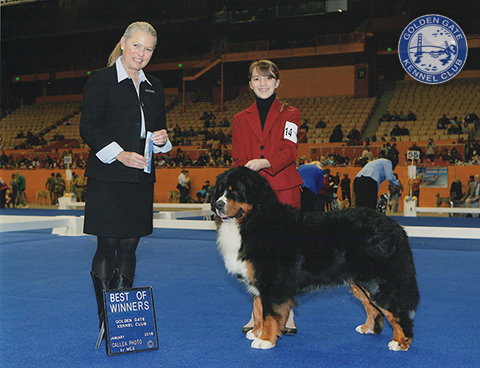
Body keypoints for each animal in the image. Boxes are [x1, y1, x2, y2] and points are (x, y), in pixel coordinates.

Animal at [212, 167, 418, 350]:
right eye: (220, 191)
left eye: (235, 191)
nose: (217, 205)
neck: (255, 220)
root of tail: (395, 226)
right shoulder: (257, 282)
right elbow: (258, 309)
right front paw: (256, 333)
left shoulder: (271, 281)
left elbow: (269, 314)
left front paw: (265, 340)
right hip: (360, 282)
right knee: (372, 306)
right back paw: (367, 328)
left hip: (378, 280)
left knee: (395, 310)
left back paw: (400, 342)